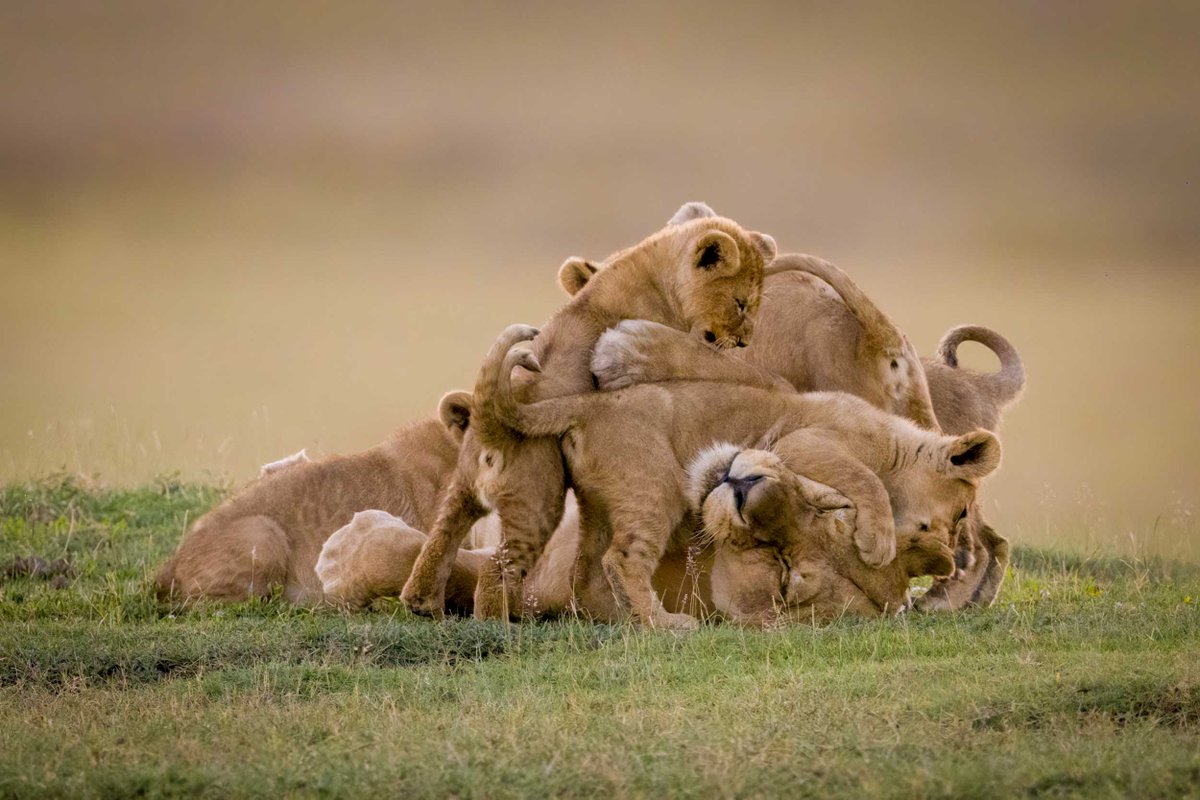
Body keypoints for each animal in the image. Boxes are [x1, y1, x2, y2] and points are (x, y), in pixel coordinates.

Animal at [400, 202, 786, 620]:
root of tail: (490, 428)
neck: (654, 269)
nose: (744, 340)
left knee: (442, 536)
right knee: (497, 567)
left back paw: (422, 601)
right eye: (741, 303)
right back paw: (496, 622)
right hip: (538, 497)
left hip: (463, 488)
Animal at [474, 326, 1000, 628]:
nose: (950, 551)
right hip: (654, 489)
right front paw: (878, 541)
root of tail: (588, 405)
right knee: (621, 559)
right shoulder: (803, 444)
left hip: (588, 505)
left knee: (578, 569)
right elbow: (863, 478)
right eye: (959, 513)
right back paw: (667, 624)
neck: (895, 444)